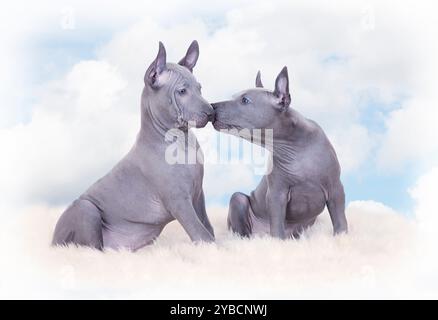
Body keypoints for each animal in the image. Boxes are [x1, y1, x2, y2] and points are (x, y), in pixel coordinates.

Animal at [52, 40, 216, 250]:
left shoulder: (198, 195)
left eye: (199, 88)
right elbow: (201, 233)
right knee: (92, 248)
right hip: (86, 208)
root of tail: (52, 241)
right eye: (182, 91)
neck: (181, 140)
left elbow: (207, 227)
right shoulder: (179, 201)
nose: (211, 113)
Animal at [212, 67, 350, 238]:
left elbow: (340, 220)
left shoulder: (336, 189)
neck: (293, 148)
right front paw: (277, 242)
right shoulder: (276, 195)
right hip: (238, 200)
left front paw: (342, 237)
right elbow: (277, 226)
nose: (212, 106)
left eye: (244, 100)